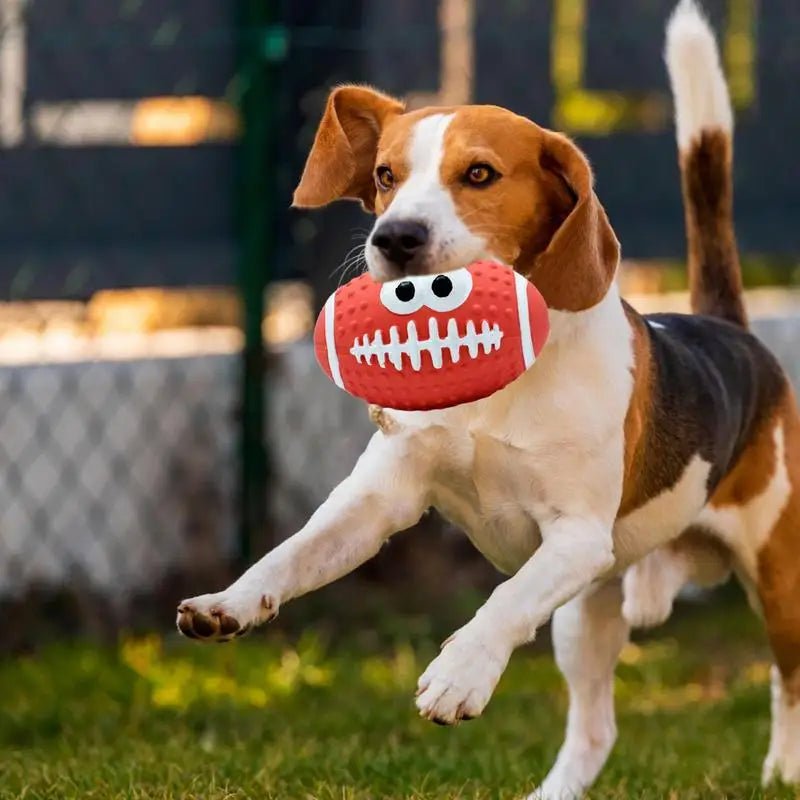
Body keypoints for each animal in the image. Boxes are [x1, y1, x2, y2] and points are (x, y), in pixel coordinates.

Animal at [177, 3, 800, 796]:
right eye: (384, 176)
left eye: (479, 174)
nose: (395, 238)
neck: (490, 382)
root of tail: (732, 332)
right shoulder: (377, 501)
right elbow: (291, 554)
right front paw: (228, 602)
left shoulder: (574, 538)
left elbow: (503, 602)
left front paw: (460, 675)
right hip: (586, 613)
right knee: (595, 729)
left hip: (775, 577)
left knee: (788, 681)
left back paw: (782, 768)